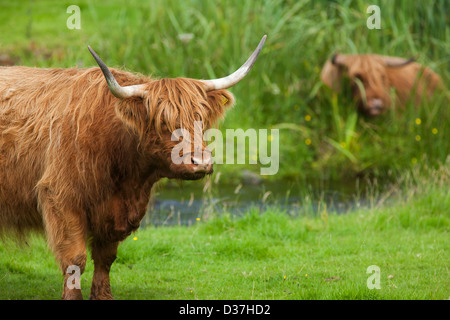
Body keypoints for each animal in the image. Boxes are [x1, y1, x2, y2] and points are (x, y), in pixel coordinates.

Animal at [0, 35, 268, 300]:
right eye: (163, 121)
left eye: (201, 119)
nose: (200, 162)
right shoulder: (61, 197)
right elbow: (75, 260)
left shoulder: (115, 212)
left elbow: (105, 259)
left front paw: (103, 296)